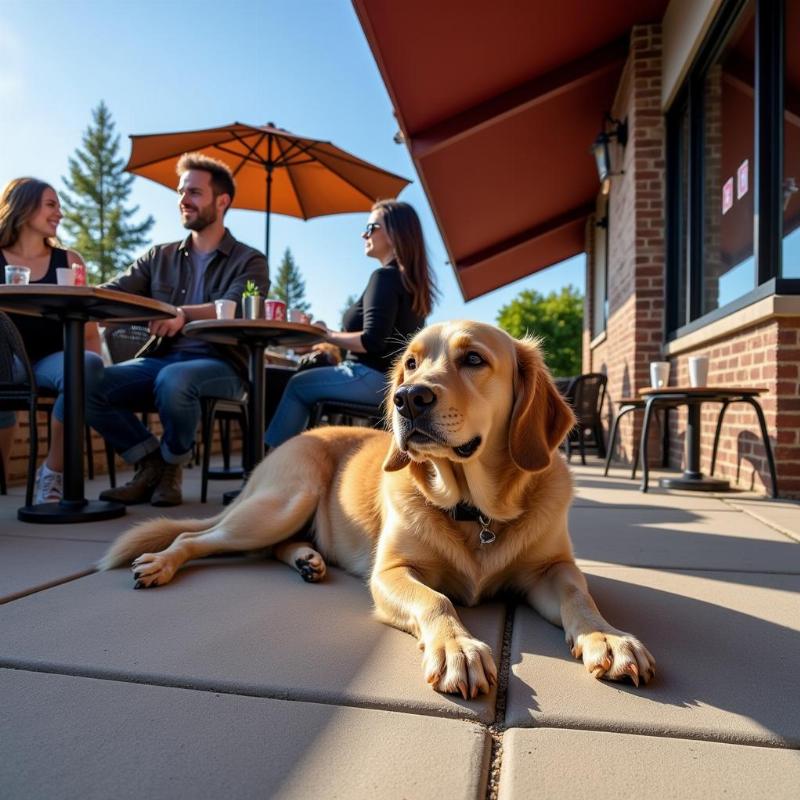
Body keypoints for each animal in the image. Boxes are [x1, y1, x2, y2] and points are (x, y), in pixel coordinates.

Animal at [97, 322, 652, 696]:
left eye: (474, 359)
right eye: (411, 363)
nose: (408, 398)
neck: (475, 512)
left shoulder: (551, 568)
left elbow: (580, 597)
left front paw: (609, 637)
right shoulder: (390, 573)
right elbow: (438, 601)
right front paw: (458, 647)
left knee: (271, 546)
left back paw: (307, 559)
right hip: (283, 501)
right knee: (194, 538)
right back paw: (161, 563)